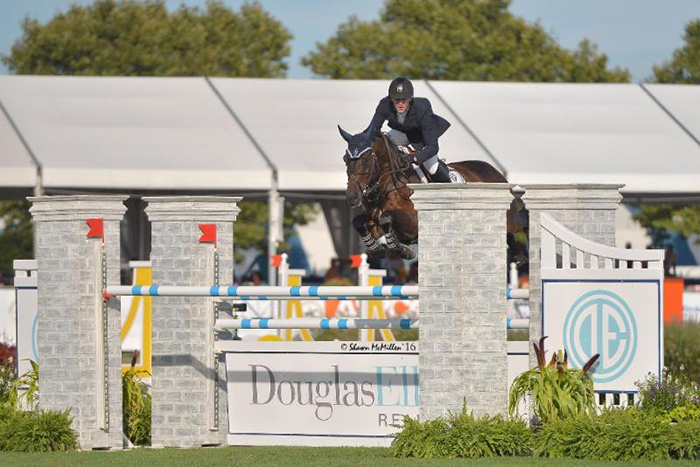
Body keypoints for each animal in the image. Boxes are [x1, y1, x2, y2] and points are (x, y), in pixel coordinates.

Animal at [338, 126, 524, 262]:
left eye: (366, 160)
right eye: (345, 159)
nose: (352, 197)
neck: (388, 186)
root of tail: (496, 172)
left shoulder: (413, 223)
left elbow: (386, 218)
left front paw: (404, 251)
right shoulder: (372, 219)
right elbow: (359, 221)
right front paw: (378, 250)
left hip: (509, 222)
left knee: (516, 233)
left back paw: (520, 255)